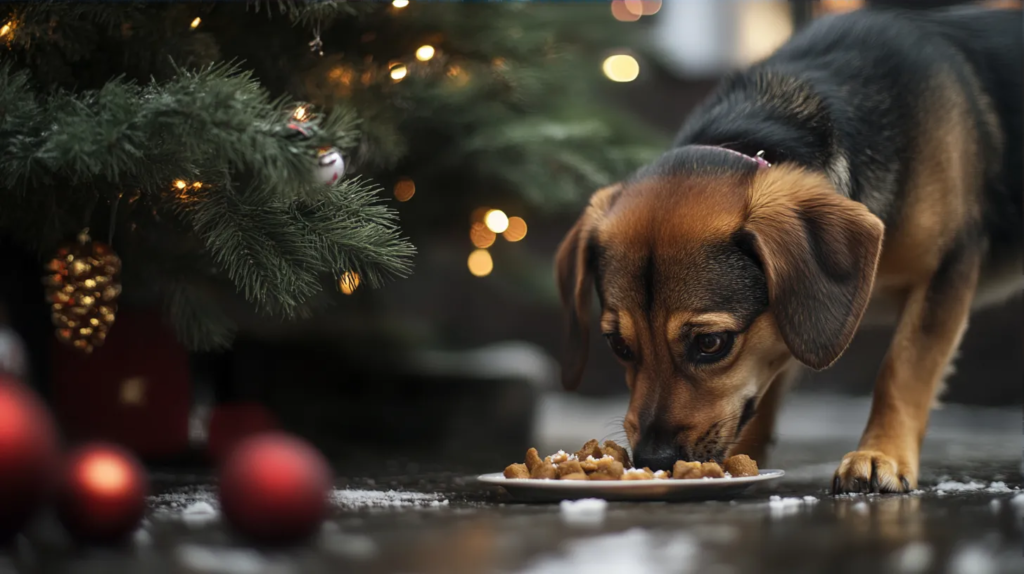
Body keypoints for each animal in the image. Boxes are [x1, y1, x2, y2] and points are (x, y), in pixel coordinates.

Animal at [557, 5, 1019, 493]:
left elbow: (904, 368)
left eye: (710, 343)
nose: (654, 459)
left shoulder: (949, 267)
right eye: (618, 345)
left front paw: (881, 454)